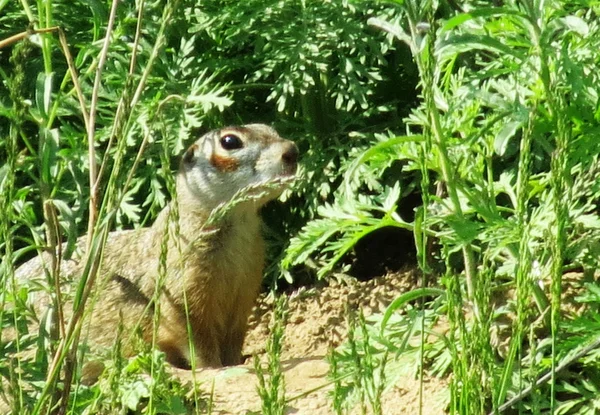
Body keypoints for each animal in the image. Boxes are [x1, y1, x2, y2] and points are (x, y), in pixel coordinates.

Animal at [11, 123, 298, 370]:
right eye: (230, 141)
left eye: (270, 128)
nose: (292, 150)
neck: (239, 223)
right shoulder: (182, 287)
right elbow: (195, 336)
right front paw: (213, 368)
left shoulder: (245, 287)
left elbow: (234, 337)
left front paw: (234, 363)